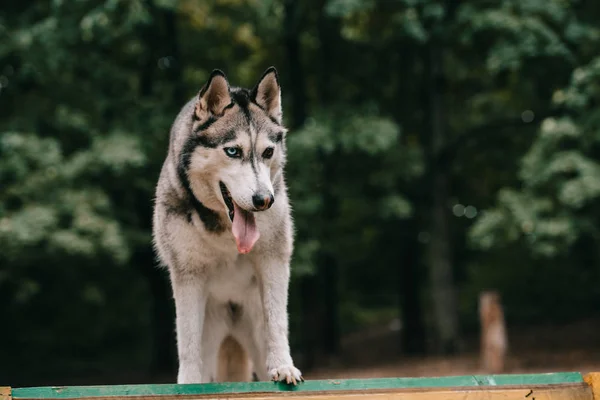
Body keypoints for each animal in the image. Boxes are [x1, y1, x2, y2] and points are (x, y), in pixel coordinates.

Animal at [152, 68, 302, 384]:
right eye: (233, 151)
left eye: (267, 152)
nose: (264, 200)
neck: (225, 230)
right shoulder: (188, 274)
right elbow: (187, 340)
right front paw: (187, 383)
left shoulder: (273, 259)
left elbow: (277, 320)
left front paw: (284, 365)